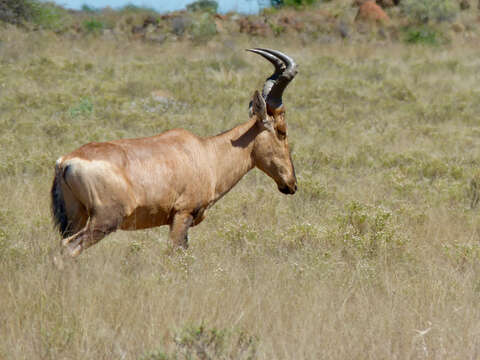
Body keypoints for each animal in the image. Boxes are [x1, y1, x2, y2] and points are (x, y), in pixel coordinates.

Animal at [51, 48, 296, 256]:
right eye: (282, 130)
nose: (291, 184)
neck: (206, 153)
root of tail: (65, 161)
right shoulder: (182, 215)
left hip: (76, 217)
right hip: (105, 220)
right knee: (69, 247)